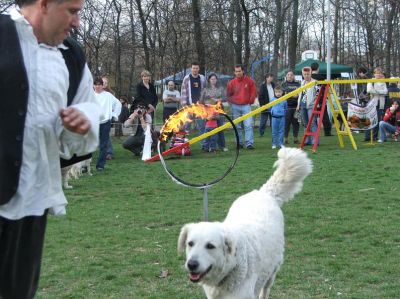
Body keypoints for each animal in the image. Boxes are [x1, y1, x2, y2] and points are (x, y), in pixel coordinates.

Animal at [177, 148, 312, 299]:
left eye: (210, 246)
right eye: (190, 244)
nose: (191, 264)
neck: (232, 266)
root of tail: (264, 192)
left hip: (272, 271)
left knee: (265, 289)